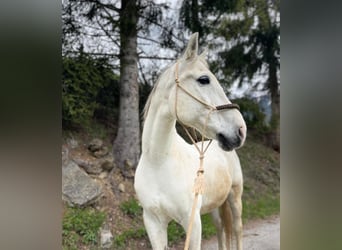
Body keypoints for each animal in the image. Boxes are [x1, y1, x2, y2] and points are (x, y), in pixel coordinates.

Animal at [134, 32, 246, 249]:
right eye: (203, 80)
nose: (240, 130)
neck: (158, 162)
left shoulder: (192, 222)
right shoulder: (153, 222)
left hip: (235, 196)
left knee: (237, 230)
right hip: (215, 206)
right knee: (221, 229)